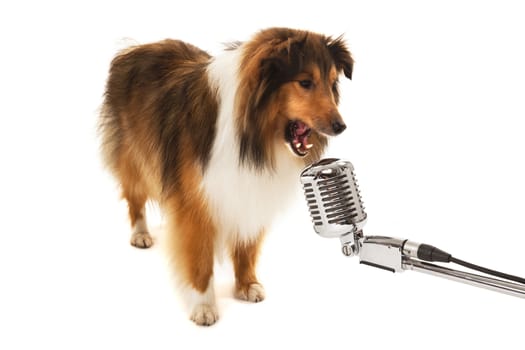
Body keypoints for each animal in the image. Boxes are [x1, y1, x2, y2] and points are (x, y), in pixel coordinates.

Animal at [98, 27, 352, 326]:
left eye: (332, 82)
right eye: (305, 82)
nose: (341, 126)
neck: (252, 136)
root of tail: (135, 48)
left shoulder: (251, 189)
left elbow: (247, 245)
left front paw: (246, 285)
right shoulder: (195, 201)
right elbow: (200, 257)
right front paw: (203, 306)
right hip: (134, 157)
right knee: (134, 196)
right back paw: (140, 234)